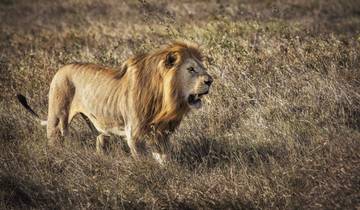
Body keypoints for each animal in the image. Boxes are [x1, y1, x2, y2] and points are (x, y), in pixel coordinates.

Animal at [17, 41, 214, 164]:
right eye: (191, 69)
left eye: (203, 68)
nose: (210, 80)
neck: (165, 100)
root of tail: (60, 69)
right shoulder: (135, 135)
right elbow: (144, 161)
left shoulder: (162, 133)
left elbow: (165, 160)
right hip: (57, 120)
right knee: (55, 139)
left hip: (100, 128)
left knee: (100, 143)